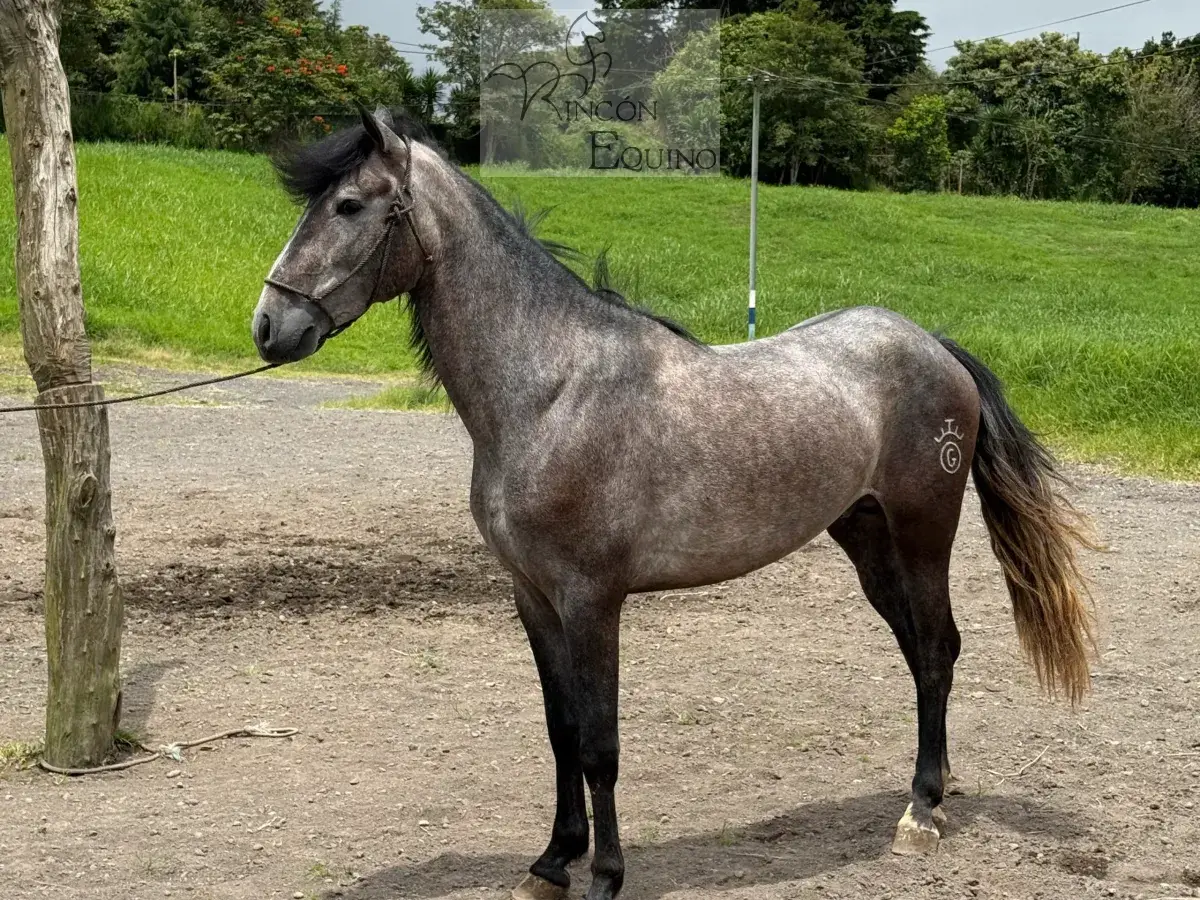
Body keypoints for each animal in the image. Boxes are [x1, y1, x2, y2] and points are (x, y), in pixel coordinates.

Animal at [251, 108, 1096, 900]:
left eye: (350, 205)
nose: (269, 325)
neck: (550, 391)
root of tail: (932, 344)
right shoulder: (534, 598)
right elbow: (561, 730)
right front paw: (552, 861)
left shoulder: (592, 600)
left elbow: (600, 743)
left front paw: (604, 874)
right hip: (867, 540)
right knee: (921, 654)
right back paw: (934, 789)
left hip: (924, 535)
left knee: (938, 650)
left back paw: (921, 813)